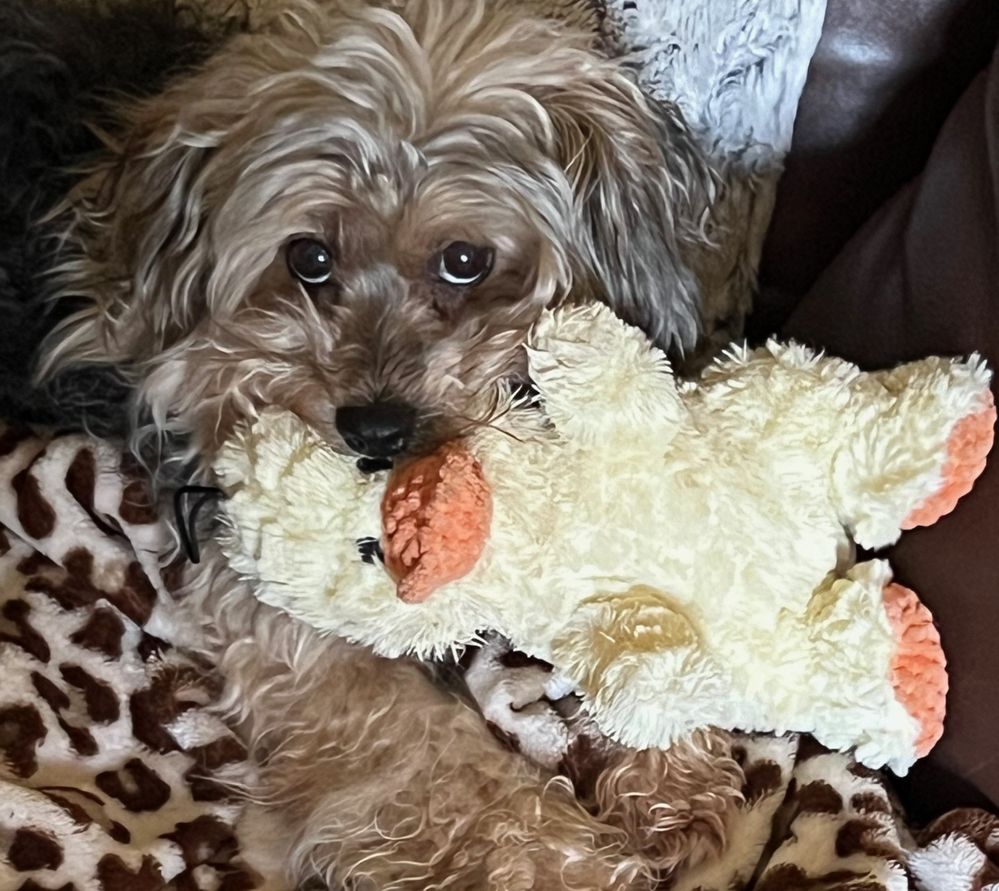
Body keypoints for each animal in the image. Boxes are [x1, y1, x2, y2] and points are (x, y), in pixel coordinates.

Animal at [5, 0, 744, 888]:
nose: (374, 428)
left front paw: (670, 777)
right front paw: (569, 865)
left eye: (464, 260)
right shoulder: (299, 639)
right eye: (307, 257)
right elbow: (449, 772)